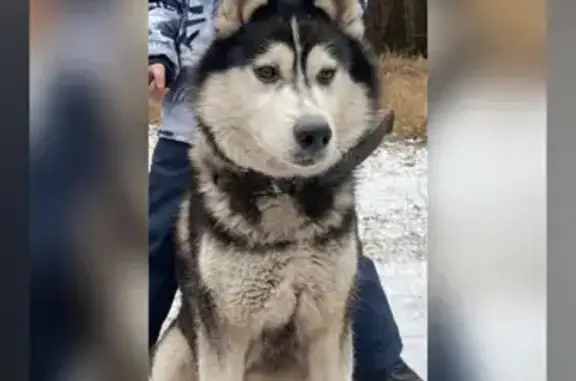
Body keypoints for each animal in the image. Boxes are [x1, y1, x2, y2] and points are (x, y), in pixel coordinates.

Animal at [148, 0, 394, 378]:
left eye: (327, 74)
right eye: (266, 72)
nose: (315, 133)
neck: (286, 197)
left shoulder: (329, 329)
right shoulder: (225, 336)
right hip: (174, 350)